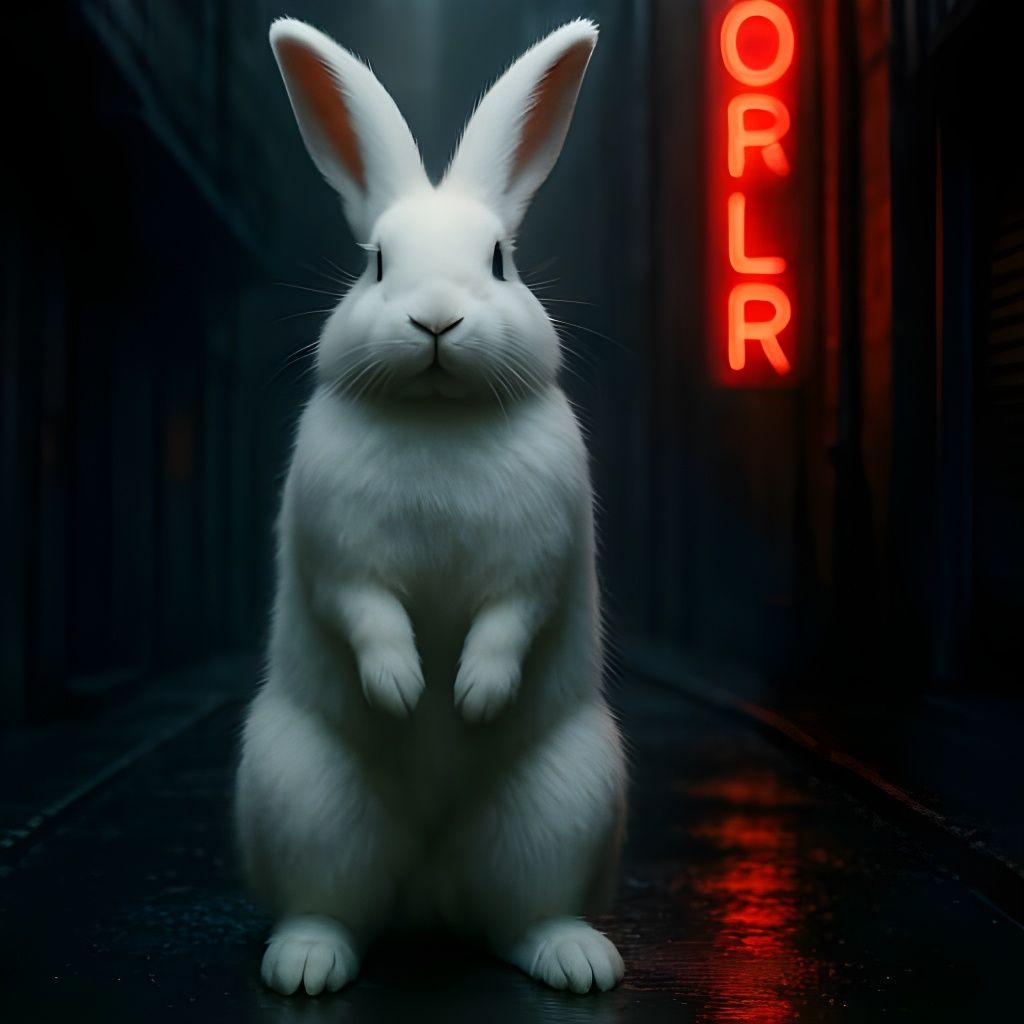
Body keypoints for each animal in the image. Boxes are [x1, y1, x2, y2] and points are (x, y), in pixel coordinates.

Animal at [234, 16, 626, 997]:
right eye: (376, 263)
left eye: (499, 261)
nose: (437, 321)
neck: (439, 417)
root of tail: (429, 888)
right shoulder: (340, 551)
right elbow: (369, 614)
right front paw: (404, 691)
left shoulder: (537, 557)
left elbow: (508, 621)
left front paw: (475, 697)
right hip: (300, 793)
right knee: (331, 907)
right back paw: (304, 968)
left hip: (568, 799)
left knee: (523, 915)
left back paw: (579, 962)